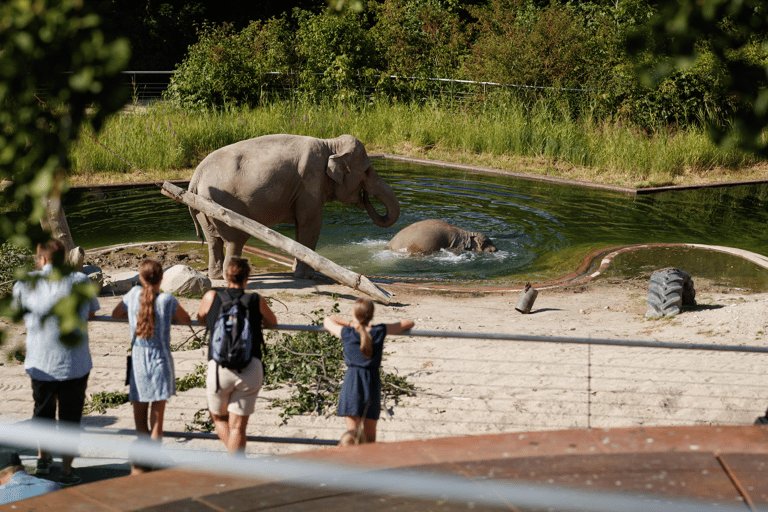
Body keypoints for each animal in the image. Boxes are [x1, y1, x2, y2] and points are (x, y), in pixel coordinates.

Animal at [188, 134, 400, 278]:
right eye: (367, 171)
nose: (365, 198)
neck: (330, 144)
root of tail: (195, 177)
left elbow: (301, 225)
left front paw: (296, 270)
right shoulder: (311, 181)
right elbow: (310, 223)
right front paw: (307, 276)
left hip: (203, 207)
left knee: (214, 240)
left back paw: (216, 276)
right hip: (222, 203)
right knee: (235, 239)